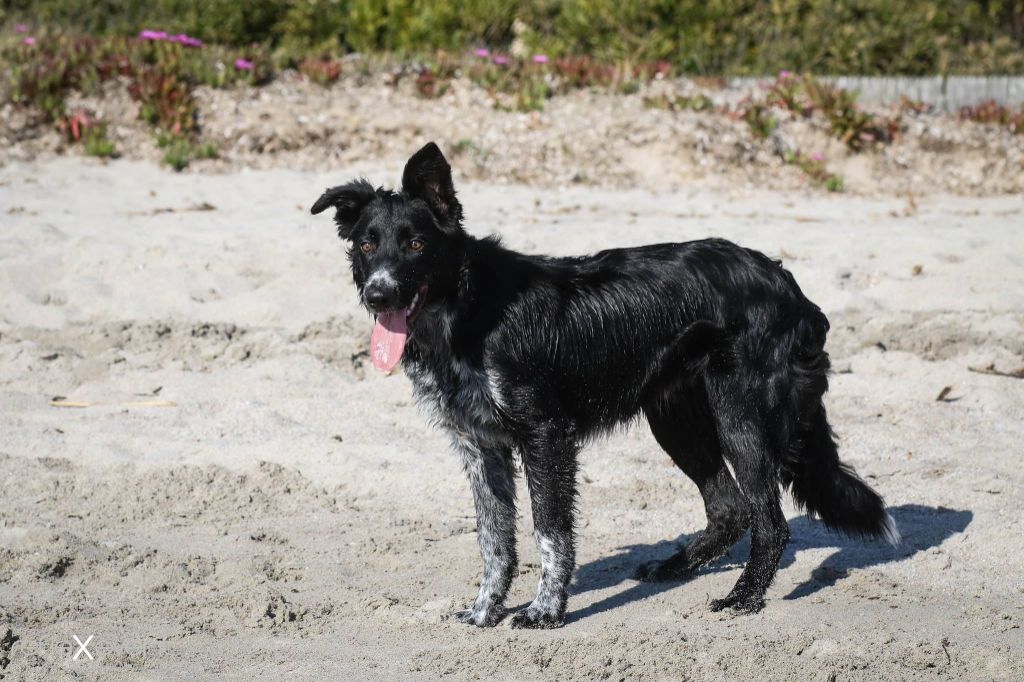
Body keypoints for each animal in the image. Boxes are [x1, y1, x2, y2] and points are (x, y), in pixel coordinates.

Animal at [311, 142, 897, 626]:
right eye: (367, 244)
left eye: (415, 243)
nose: (379, 295)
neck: (467, 308)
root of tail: (788, 285)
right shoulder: (480, 447)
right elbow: (494, 540)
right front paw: (485, 612)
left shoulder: (545, 435)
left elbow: (549, 530)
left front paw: (545, 611)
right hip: (675, 419)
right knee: (730, 509)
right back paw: (675, 568)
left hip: (741, 417)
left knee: (769, 521)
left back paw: (744, 599)